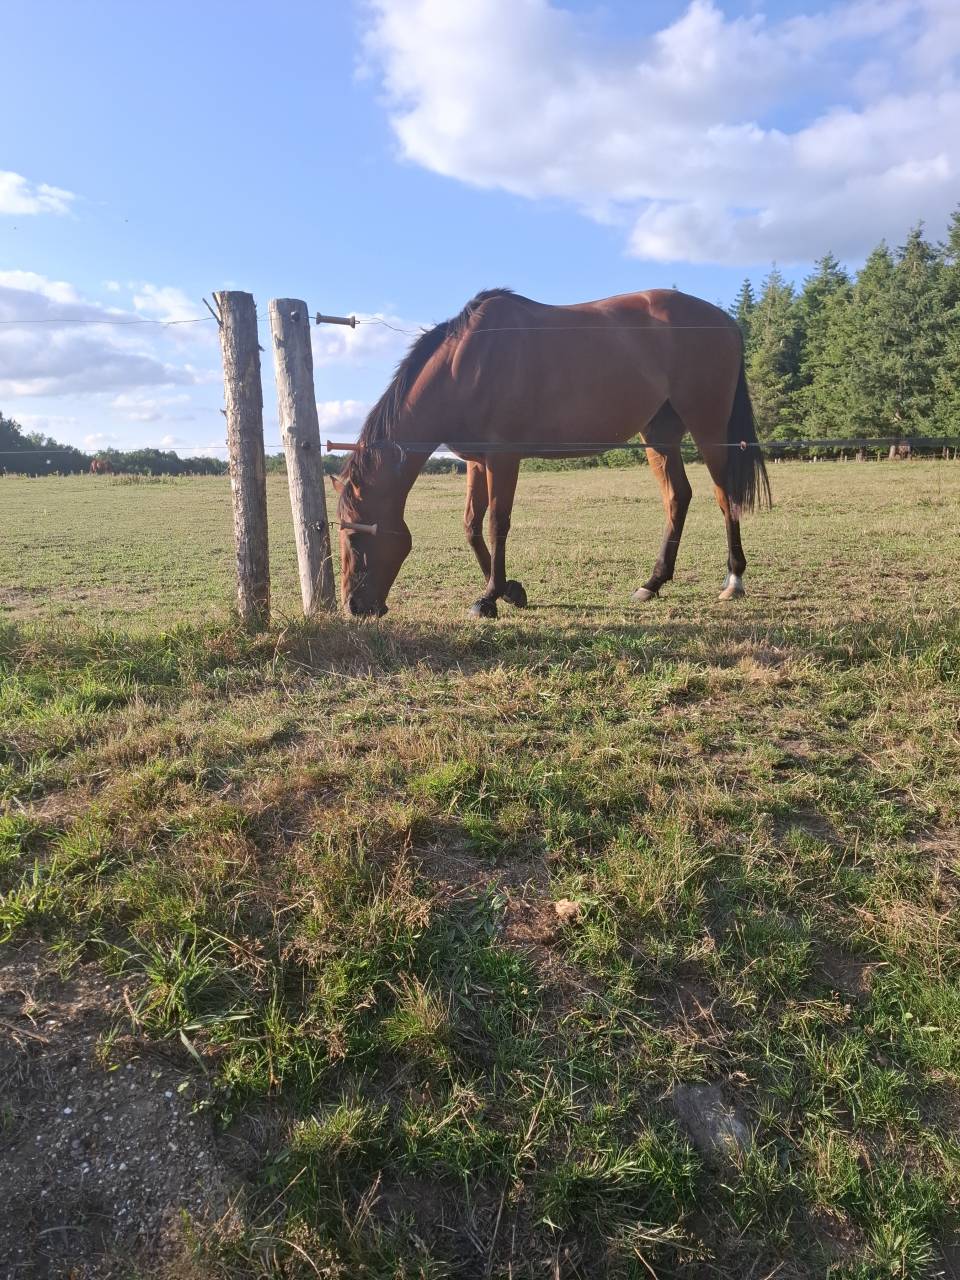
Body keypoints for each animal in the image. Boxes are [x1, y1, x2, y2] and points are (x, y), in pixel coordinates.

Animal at [333, 288, 770, 618]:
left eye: (356, 537)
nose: (354, 607)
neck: (466, 365)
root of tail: (726, 321)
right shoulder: (476, 461)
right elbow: (472, 526)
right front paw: (509, 590)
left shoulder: (503, 457)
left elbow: (497, 523)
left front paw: (488, 599)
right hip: (660, 436)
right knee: (678, 497)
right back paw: (652, 583)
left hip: (709, 430)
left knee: (725, 496)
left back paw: (733, 581)